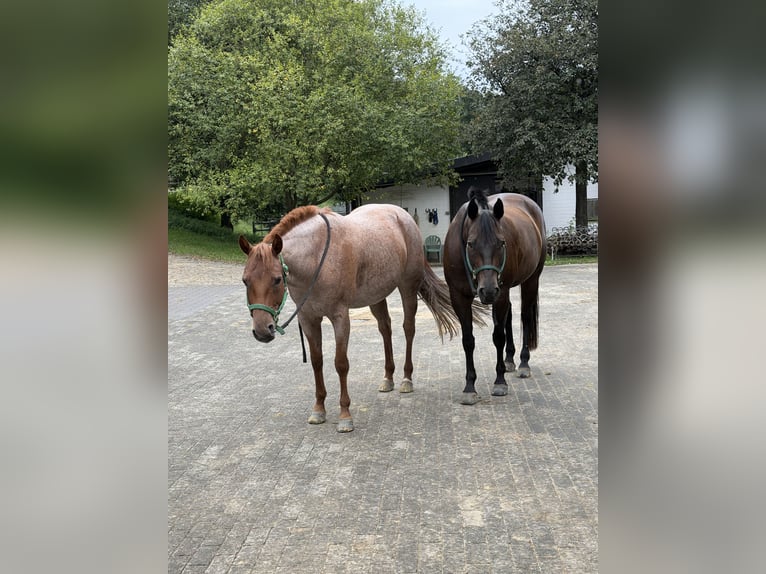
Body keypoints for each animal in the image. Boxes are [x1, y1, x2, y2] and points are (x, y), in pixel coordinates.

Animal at [239, 203, 472, 433]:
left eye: (277, 279)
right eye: (245, 280)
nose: (262, 330)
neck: (317, 258)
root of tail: (404, 215)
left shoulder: (340, 317)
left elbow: (341, 363)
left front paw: (345, 416)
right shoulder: (308, 319)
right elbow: (317, 362)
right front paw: (318, 409)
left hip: (407, 288)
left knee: (408, 329)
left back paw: (406, 379)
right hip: (376, 296)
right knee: (385, 328)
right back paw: (388, 378)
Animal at [443, 187, 547, 405]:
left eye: (501, 242)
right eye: (471, 244)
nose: (488, 290)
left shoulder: (501, 293)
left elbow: (498, 336)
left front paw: (500, 382)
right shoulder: (458, 297)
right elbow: (468, 340)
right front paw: (469, 387)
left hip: (530, 281)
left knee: (525, 317)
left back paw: (523, 363)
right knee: (510, 316)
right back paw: (509, 360)